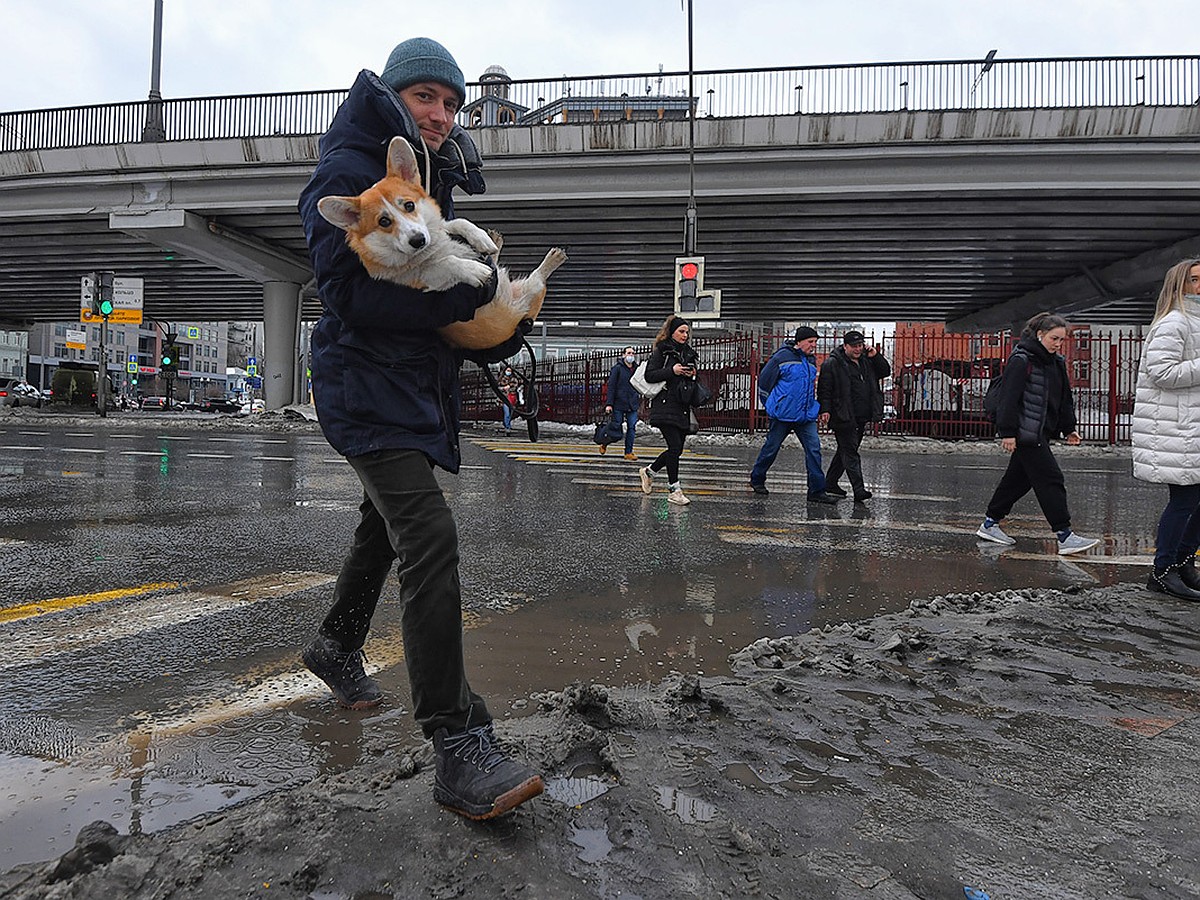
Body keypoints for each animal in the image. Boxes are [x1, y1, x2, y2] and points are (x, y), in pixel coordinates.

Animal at [316, 135, 564, 350]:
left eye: (409, 205)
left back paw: (495, 242)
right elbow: (446, 263)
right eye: (383, 221)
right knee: (538, 278)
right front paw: (473, 269)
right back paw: (553, 258)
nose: (418, 240)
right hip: (530, 292)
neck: (430, 248)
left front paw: (480, 238)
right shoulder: (427, 284)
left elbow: (456, 223)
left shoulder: (438, 228)